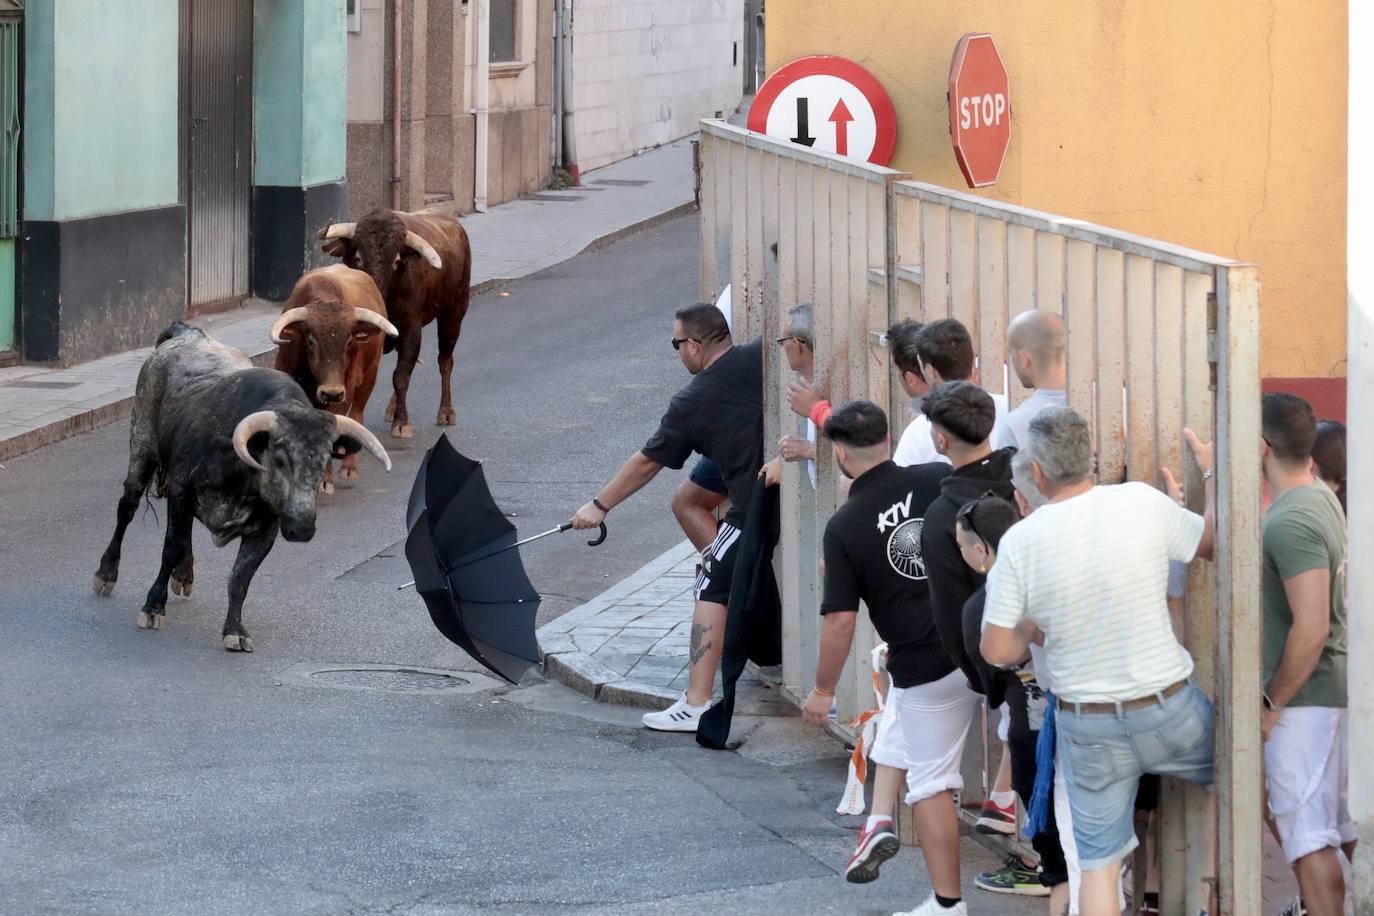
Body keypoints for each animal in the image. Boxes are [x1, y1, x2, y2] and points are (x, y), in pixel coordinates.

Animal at [267, 265, 398, 491]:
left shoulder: (344, 391)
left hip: (369, 377)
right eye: (311, 341)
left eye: (349, 342)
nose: (331, 392)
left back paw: (349, 467)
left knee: (357, 415)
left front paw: (325, 480)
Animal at [318, 210, 475, 439]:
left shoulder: (411, 330)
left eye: (396, 261)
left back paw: (446, 411)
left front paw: (402, 423)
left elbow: (400, 376)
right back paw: (392, 409)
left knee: (445, 362)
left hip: (454, 313)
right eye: (358, 258)